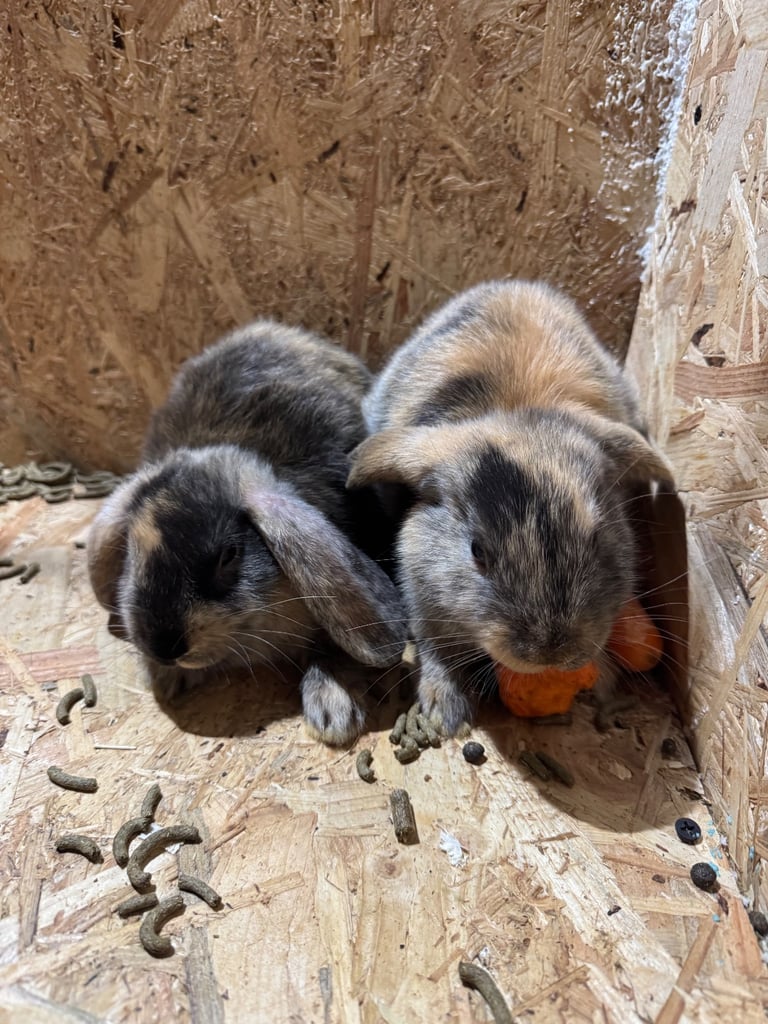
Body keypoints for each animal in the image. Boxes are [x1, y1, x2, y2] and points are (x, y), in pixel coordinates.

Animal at [88, 319, 407, 745]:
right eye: (132, 552)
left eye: (228, 555)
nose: (165, 648)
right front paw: (167, 680)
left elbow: (335, 654)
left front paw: (333, 711)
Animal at [347, 280, 676, 736]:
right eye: (476, 551)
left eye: (597, 538)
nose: (549, 652)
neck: (514, 412)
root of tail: (516, 286)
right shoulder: (424, 603)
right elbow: (437, 654)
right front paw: (445, 714)